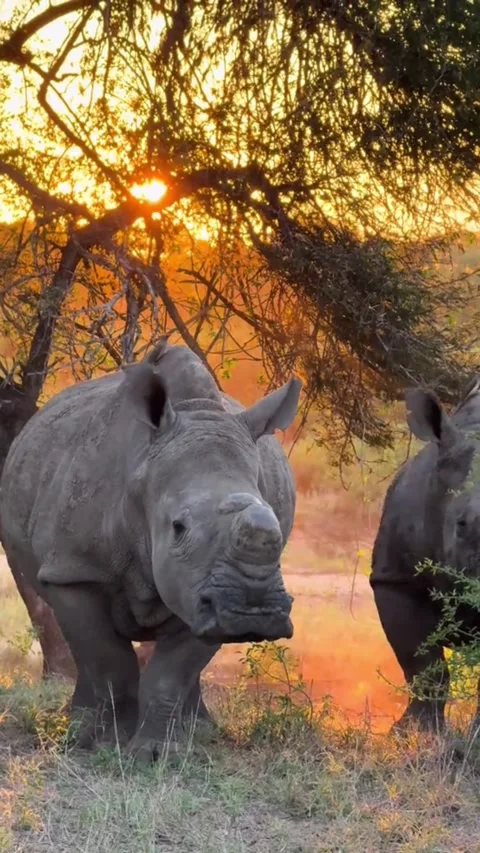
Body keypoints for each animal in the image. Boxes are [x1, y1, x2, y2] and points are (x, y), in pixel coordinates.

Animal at [0, 339, 301, 759]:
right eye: (178, 528)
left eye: (276, 524)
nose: (251, 613)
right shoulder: (75, 570)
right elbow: (107, 659)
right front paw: (108, 744)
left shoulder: (203, 591)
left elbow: (172, 673)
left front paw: (157, 753)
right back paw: (78, 730)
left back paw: (199, 732)